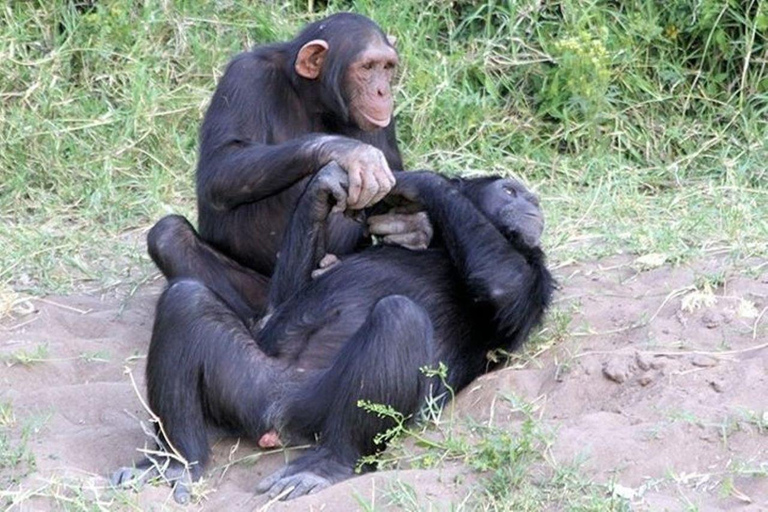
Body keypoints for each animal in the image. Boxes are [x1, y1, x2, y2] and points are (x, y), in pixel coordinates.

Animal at [112, 165, 552, 504]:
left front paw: (417, 182)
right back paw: (174, 462)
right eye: (509, 190)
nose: (532, 201)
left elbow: (504, 283)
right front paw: (326, 186)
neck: (443, 243)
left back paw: (329, 464)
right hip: (246, 386)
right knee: (185, 299)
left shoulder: (533, 278)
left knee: (399, 317)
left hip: (315, 408)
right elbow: (274, 311)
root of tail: (274, 419)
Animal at [146, 13, 432, 320]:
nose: (382, 91)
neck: (311, 97)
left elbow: (392, 184)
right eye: (367, 67)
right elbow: (222, 163)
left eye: (387, 67)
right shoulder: (245, 76)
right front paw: (352, 153)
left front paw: (410, 226)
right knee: (170, 236)